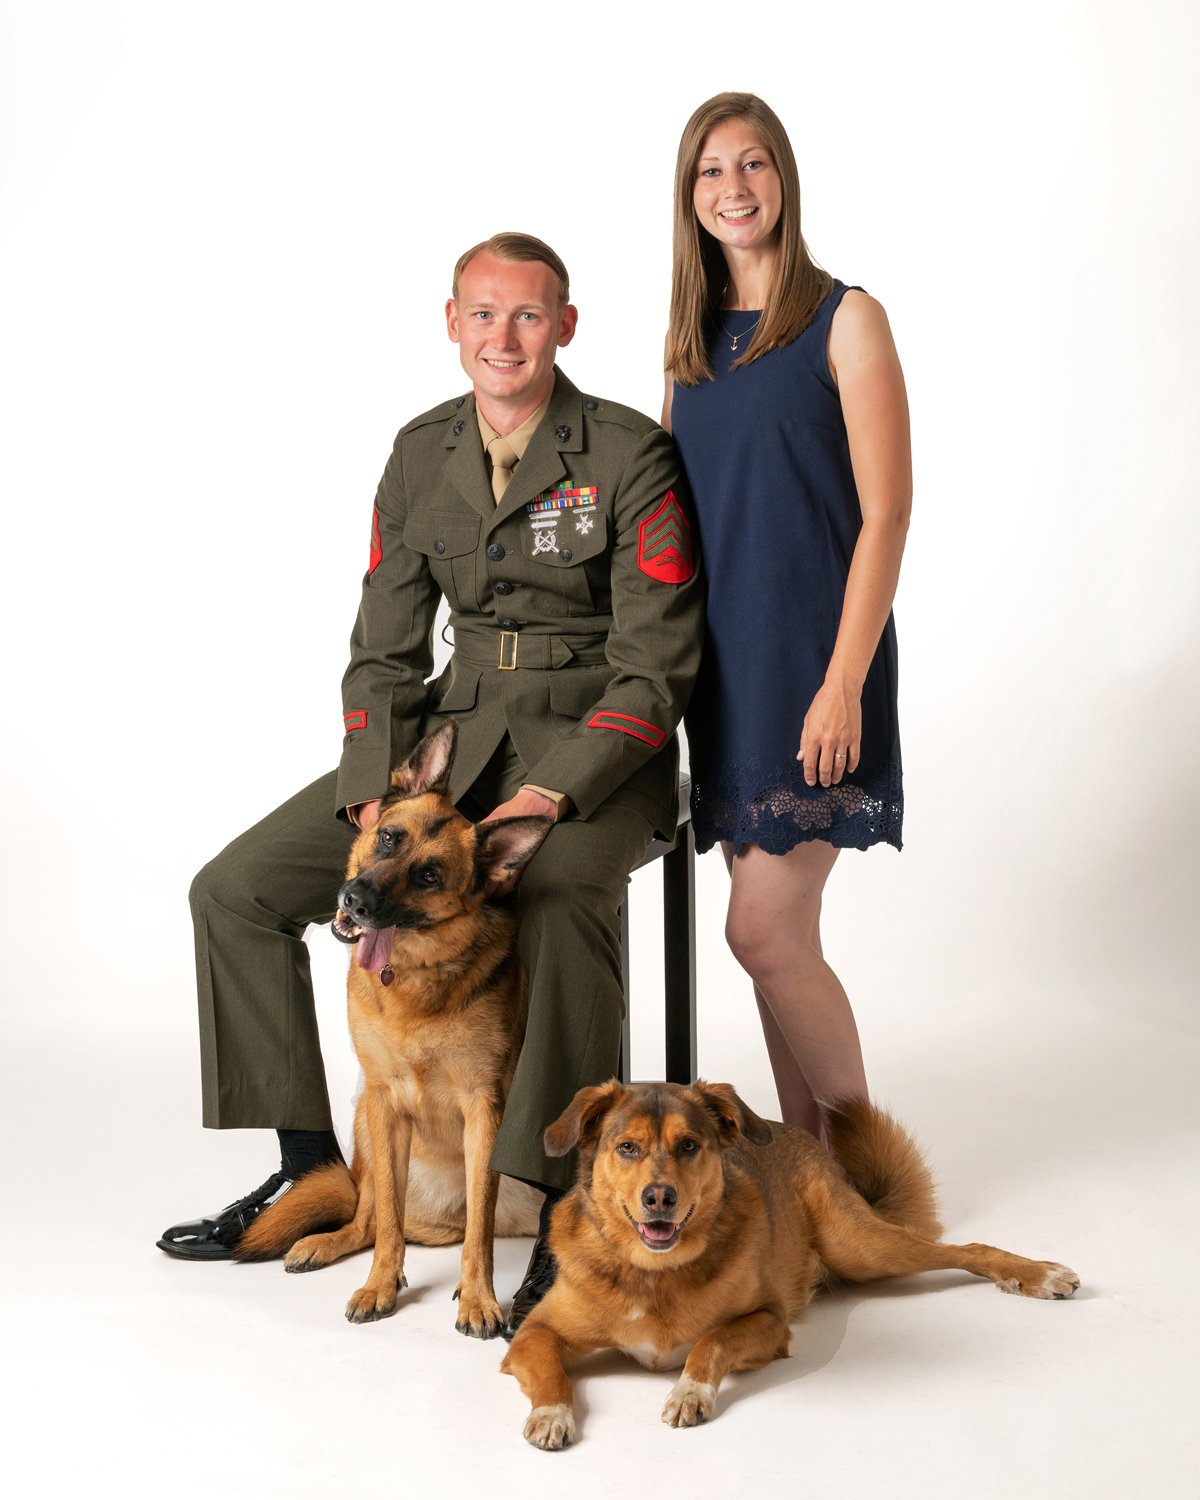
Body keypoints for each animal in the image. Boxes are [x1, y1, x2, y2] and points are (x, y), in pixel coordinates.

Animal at [232, 720, 549, 1344]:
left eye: (429, 875)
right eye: (387, 838)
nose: (354, 900)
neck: (415, 977)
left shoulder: (485, 1110)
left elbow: (479, 1236)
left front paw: (479, 1298)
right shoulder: (383, 1101)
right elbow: (386, 1228)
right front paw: (380, 1285)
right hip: (365, 1126)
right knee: (374, 1218)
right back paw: (331, 1244)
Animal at [501, 1086, 1080, 1446]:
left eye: (689, 1145)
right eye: (626, 1147)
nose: (659, 1198)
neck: (656, 1271)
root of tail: (800, 1135)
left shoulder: (769, 1322)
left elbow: (711, 1342)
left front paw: (691, 1391)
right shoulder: (533, 1334)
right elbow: (552, 1373)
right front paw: (550, 1415)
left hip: (864, 1247)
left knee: (966, 1249)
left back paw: (1037, 1274)